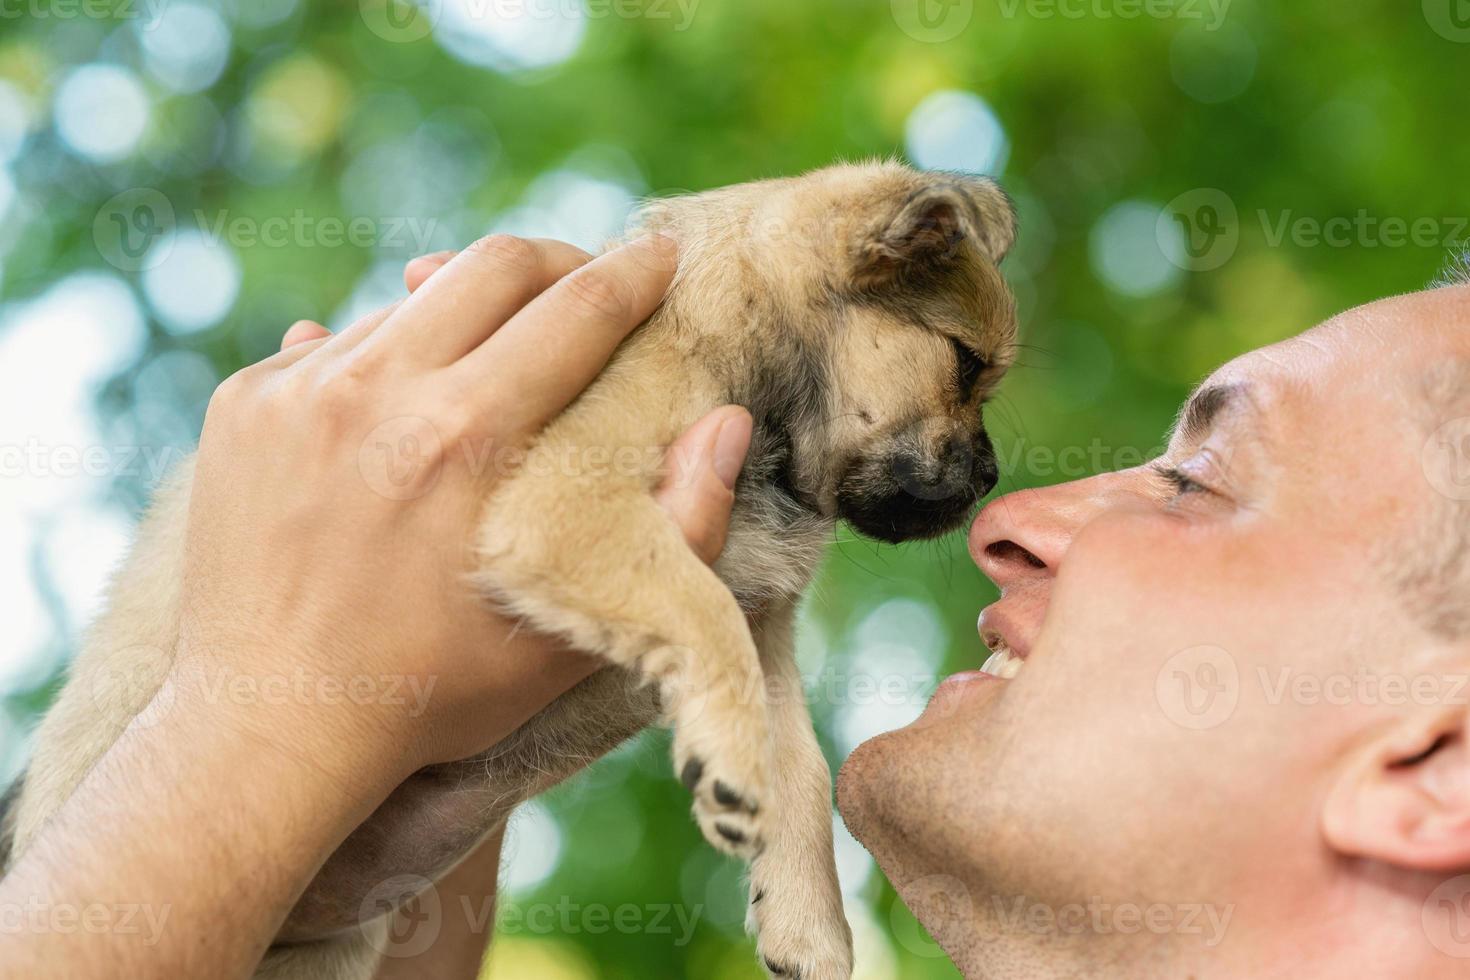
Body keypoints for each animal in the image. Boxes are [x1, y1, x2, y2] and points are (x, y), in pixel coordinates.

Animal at [5, 160, 1017, 980]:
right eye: (964, 366)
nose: (992, 475)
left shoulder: (765, 627)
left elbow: (801, 766)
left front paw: (806, 918)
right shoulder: (574, 511)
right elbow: (702, 619)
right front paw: (734, 764)